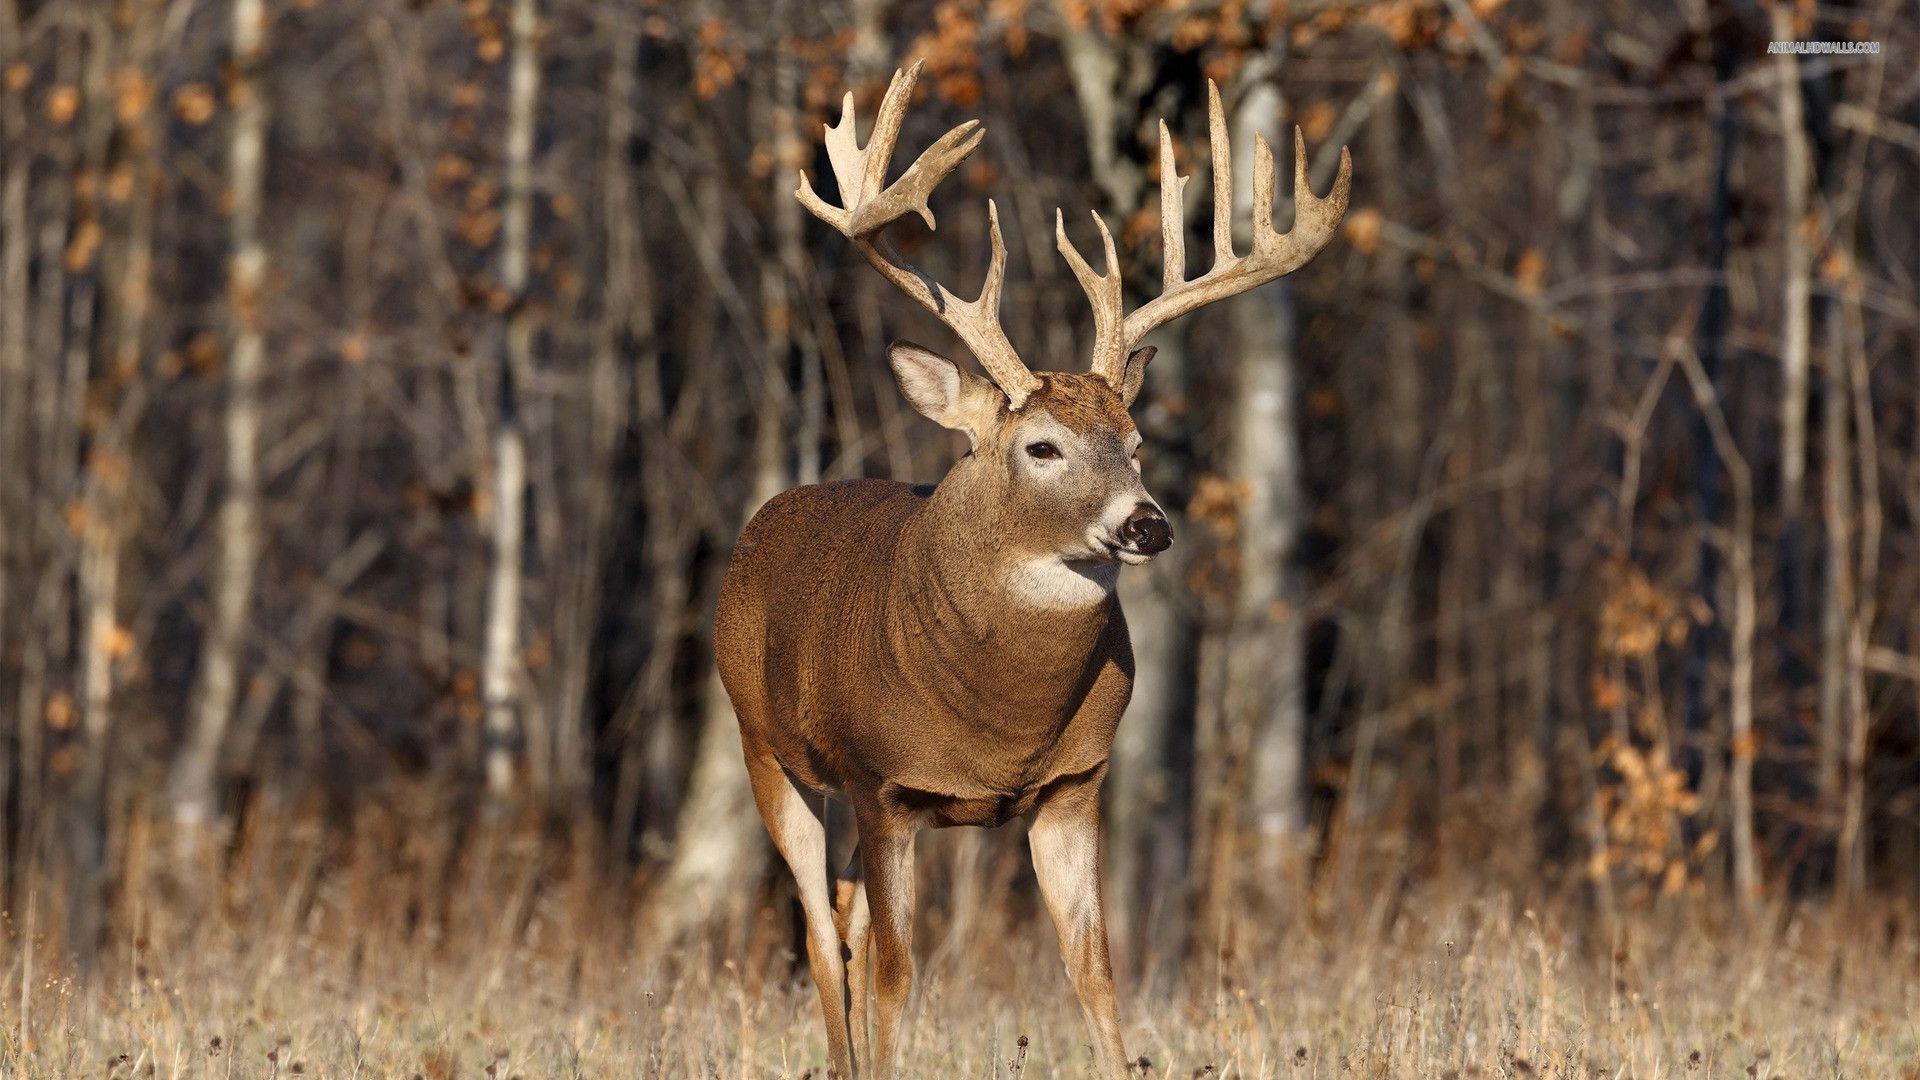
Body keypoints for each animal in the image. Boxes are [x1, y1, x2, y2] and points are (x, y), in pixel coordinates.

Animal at [713, 61, 1350, 1079]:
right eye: (1042, 447)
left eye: (1135, 443)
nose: (1148, 524)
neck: (998, 719)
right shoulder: (884, 785)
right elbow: (897, 975)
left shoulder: (1073, 786)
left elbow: (1093, 970)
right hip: (763, 744)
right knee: (819, 932)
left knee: (845, 922)